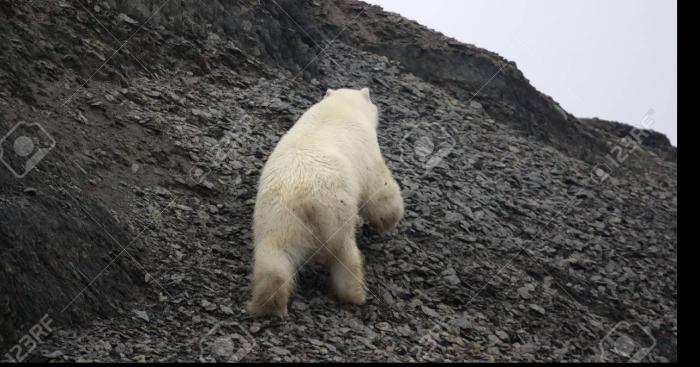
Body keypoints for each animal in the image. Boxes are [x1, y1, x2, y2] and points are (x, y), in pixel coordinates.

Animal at [247, 87, 402, 318]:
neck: (340, 107)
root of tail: (305, 202)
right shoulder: (368, 153)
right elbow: (379, 190)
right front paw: (390, 220)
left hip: (276, 220)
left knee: (273, 262)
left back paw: (268, 305)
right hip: (336, 214)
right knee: (345, 254)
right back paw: (355, 295)